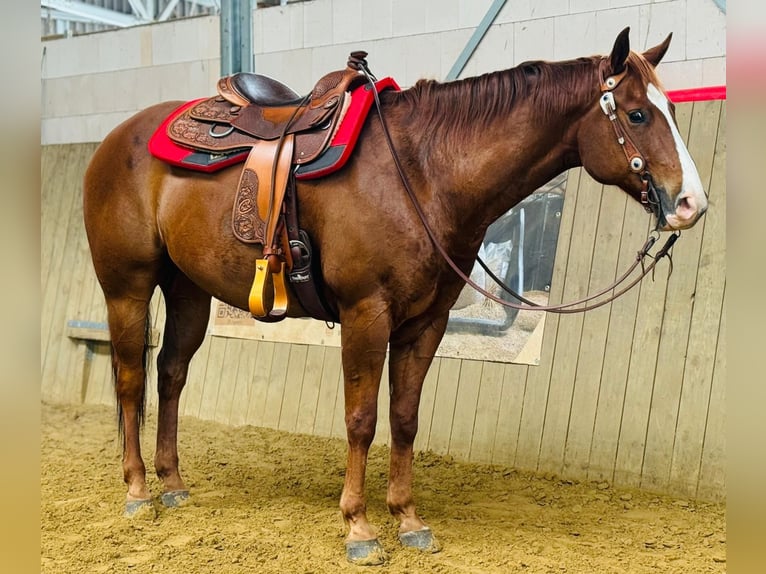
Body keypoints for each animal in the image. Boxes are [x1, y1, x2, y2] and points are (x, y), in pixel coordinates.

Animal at [82, 28, 707, 565]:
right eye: (637, 113)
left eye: (673, 110)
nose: (691, 204)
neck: (423, 171)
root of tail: (117, 138)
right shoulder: (367, 314)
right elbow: (361, 419)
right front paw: (358, 527)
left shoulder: (426, 322)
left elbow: (405, 418)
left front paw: (407, 519)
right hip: (127, 288)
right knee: (131, 380)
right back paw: (138, 491)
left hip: (188, 291)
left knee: (171, 374)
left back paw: (173, 484)